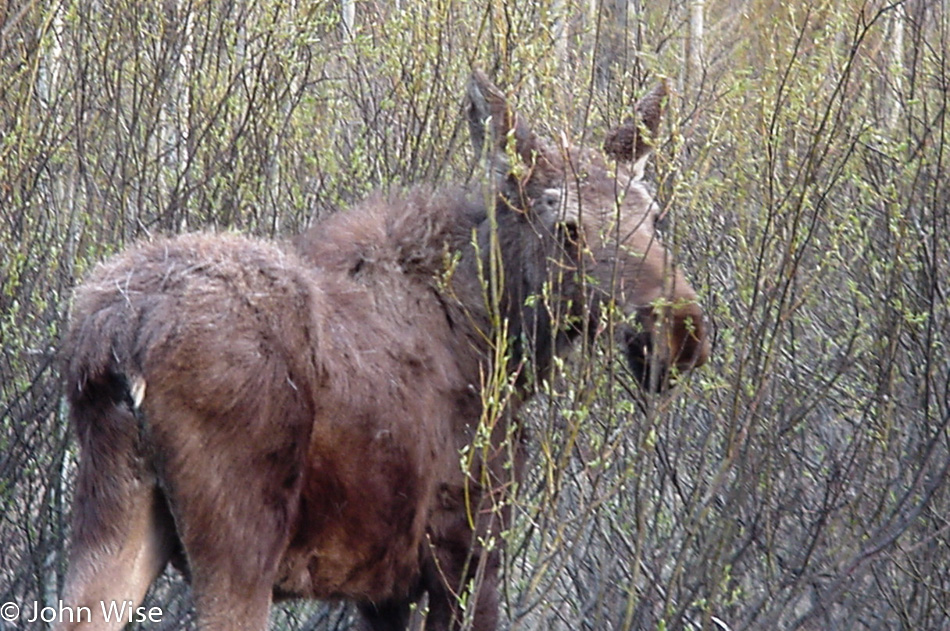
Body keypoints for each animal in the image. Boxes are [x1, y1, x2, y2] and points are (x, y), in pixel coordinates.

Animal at [57, 73, 708, 631]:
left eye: (655, 216)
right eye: (569, 227)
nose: (683, 332)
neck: (502, 341)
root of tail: (120, 334)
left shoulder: (383, 588)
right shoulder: (466, 552)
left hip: (111, 516)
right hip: (240, 540)